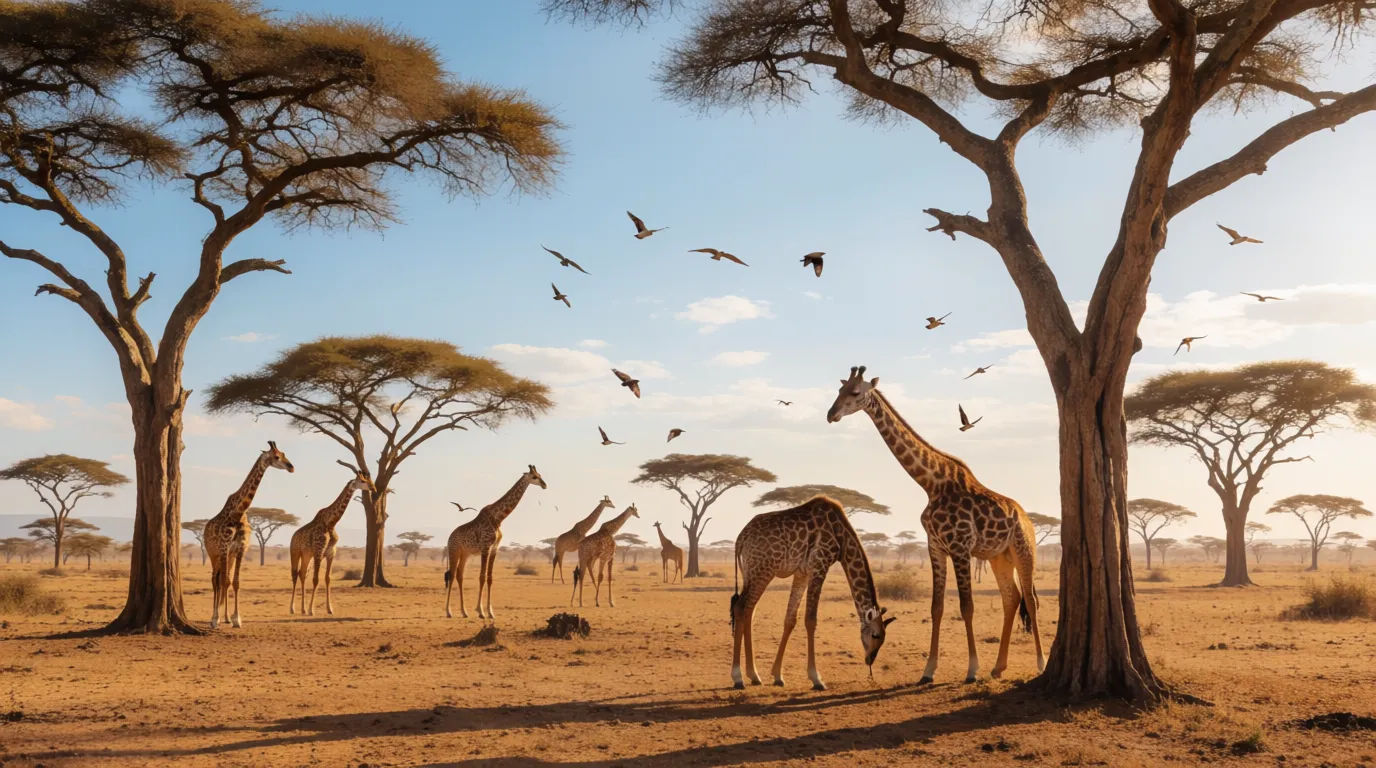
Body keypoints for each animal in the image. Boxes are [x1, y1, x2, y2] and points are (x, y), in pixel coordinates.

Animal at [203, 441, 295, 629]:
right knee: (215, 580)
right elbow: (222, 581)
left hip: (228, 556)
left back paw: (225, 617)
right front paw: (216, 619)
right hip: (213, 554)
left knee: (224, 580)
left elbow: (234, 582)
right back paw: (214, 618)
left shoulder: (239, 550)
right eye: (276, 457)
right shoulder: (223, 548)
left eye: (284, 453)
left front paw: (236, 619)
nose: (291, 467)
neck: (238, 514)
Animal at [288, 464, 374, 616]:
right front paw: (312, 610)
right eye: (363, 481)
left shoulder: (330, 554)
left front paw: (329, 609)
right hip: (295, 552)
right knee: (294, 574)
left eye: (369, 479)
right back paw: (292, 609)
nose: (374, 489)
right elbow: (316, 580)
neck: (331, 523)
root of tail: (293, 536)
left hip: (307, 555)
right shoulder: (319, 552)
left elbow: (327, 579)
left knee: (302, 574)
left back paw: (302, 609)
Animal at [444, 465, 547, 619]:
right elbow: (482, 577)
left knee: (459, 576)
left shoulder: (494, 549)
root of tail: (449, 537)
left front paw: (490, 612)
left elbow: (490, 578)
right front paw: (480, 611)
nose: (544, 485)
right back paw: (448, 612)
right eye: (534, 477)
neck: (499, 518)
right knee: (451, 575)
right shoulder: (485, 547)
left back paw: (464, 612)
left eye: (540, 475)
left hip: (465, 554)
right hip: (454, 551)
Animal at [730, 495, 894, 690]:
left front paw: (778, 675)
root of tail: (741, 538)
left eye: (883, 638)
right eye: (876, 635)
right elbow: (810, 620)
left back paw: (754, 675)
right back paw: (738, 677)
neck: (842, 538)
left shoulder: (802, 572)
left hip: (751, 572)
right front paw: (816, 678)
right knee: (741, 608)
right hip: (763, 570)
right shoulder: (819, 564)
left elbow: (790, 620)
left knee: (749, 610)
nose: (870, 659)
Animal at [827, 365, 1044, 683]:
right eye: (839, 390)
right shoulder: (936, 547)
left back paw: (1040, 663)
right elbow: (936, 608)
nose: (831, 415)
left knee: (1030, 598)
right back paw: (998, 667)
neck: (931, 483)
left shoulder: (960, 546)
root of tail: (1027, 518)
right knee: (1011, 598)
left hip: (1024, 550)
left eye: (854, 392)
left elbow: (967, 606)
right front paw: (928, 671)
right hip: (998, 557)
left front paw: (972, 670)